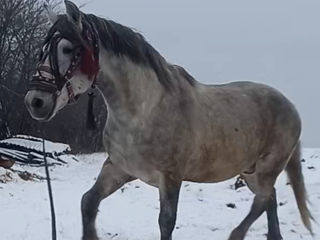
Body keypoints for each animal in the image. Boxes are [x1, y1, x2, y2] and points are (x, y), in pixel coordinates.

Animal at [24, 0, 312, 239]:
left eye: (67, 49)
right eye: (42, 50)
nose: (35, 101)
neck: (143, 110)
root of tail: (291, 106)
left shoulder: (170, 178)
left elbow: (166, 221)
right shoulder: (119, 168)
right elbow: (88, 202)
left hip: (266, 168)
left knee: (262, 200)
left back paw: (236, 235)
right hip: (250, 170)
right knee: (269, 200)